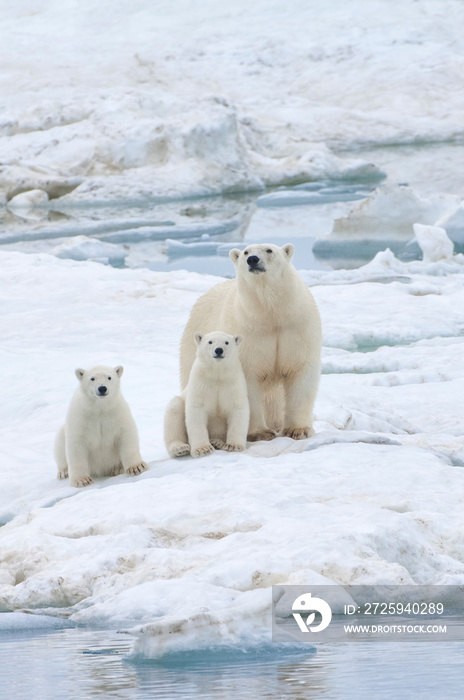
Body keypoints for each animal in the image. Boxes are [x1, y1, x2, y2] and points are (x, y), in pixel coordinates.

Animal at [164, 332, 250, 460]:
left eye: (226, 342)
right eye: (210, 342)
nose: (218, 350)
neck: (217, 375)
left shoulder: (233, 382)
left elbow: (238, 409)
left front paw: (233, 446)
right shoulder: (200, 382)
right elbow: (196, 410)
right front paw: (202, 449)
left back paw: (217, 442)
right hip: (179, 403)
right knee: (174, 410)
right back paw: (180, 448)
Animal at [179, 243, 320, 440]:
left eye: (269, 250)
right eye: (245, 252)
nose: (252, 259)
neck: (271, 315)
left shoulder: (296, 327)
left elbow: (300, 370)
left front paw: (297, 430)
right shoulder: (248, 332)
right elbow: (247, 380)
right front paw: (260, 433)